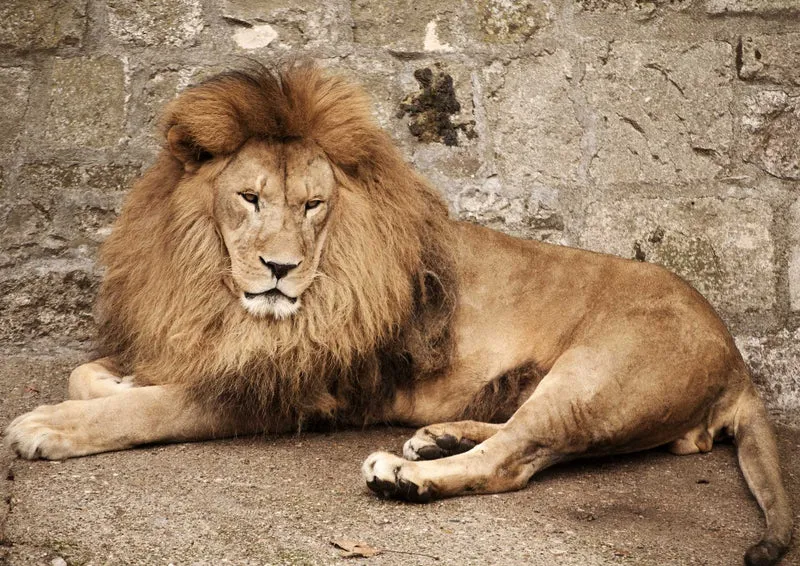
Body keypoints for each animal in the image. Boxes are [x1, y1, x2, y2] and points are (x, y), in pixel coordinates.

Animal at [4, 64, 792, 566]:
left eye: (314, 204)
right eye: (250, 198)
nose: (279, 269)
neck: (218, 287)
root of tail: (737, 356)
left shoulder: (284, 390)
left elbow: (146, 409)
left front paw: (51, 427)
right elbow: (89, 374)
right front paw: (115, 381)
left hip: (598, 372)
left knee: (515, 460)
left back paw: (407, 474)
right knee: (523, 434)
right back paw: (436, 438)